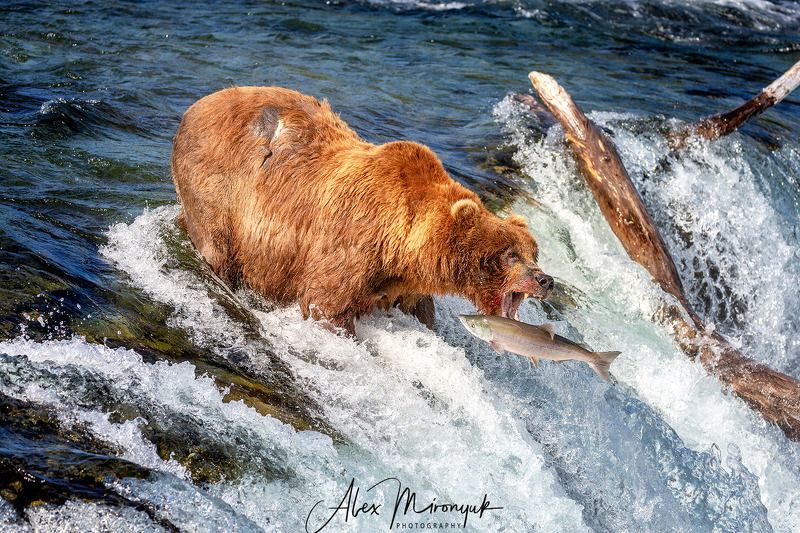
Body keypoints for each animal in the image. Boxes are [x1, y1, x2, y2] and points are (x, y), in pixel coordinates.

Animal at [171, 86, 553, 333]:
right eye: (510, 254)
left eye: (533, 252)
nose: (545, 279)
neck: (402, 247)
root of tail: (195, 107)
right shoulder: (351, 239)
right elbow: (325, 302)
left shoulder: (402, 283)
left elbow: (419, 310)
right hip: (219, 186)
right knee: (217, 246)